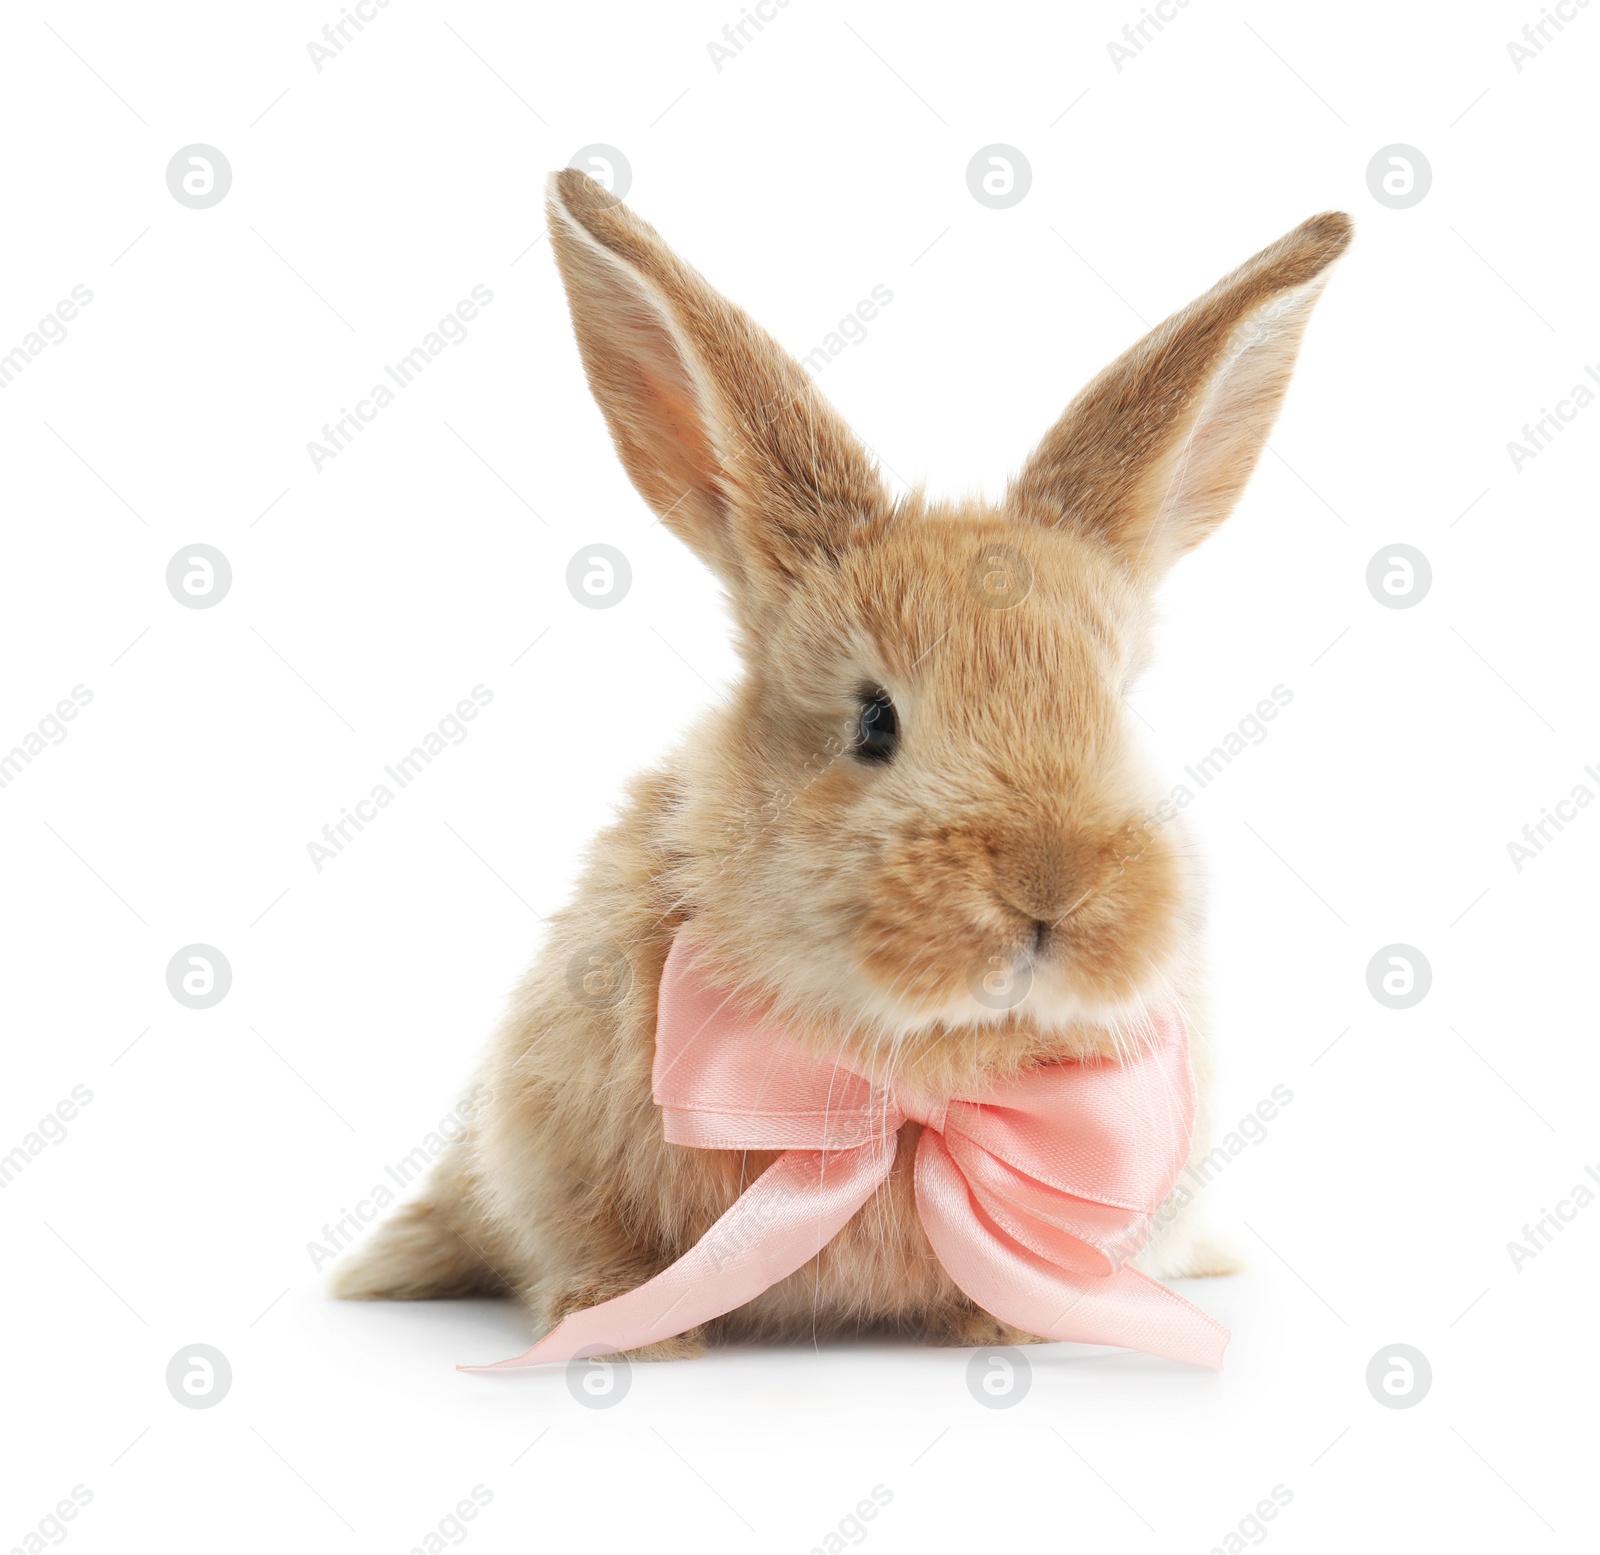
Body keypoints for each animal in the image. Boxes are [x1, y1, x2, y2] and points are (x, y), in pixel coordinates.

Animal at [334, 172, 1350, 1363]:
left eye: (1119, 708)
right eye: (874, 721)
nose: (1050, 886)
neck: (911, 1064)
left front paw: (1005, 1324)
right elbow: (591, 1243)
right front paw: (630, 1329)